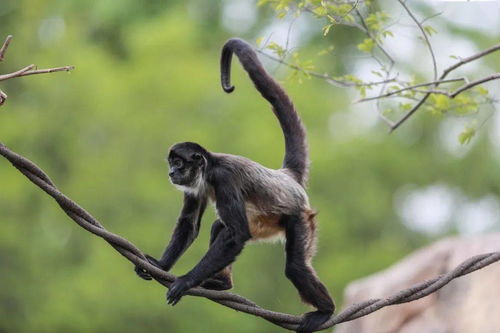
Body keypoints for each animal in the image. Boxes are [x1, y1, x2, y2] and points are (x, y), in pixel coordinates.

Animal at [135, 37, 334, 330]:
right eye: (171, 163)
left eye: (179, 163)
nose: (171, 172)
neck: (210, 170)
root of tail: (286, 176)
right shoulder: (195, 186)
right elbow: (191, 224)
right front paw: (160, 265)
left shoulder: (224, 178)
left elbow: (238, 234)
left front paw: (184, 281)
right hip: (265, 221)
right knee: (220, 225)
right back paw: (222, 283)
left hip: (299, 217)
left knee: (295, 266)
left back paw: (326, 311)